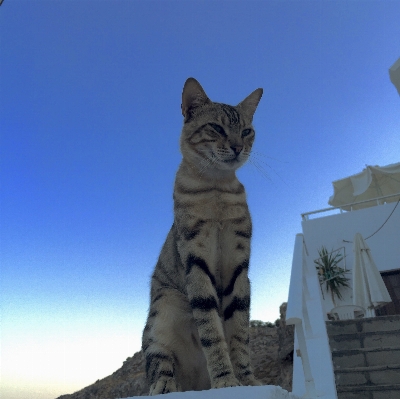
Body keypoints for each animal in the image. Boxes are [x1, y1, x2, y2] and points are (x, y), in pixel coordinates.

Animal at [142, 79, 264, 396]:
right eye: (217, 128)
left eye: (246, 131)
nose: (238, 147)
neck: (216, 188)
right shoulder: (196, 260)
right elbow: (211, 329)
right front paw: (224, 379)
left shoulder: (239, 266)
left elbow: (239, 333)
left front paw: (245, 380)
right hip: (163, 310)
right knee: (156, 362)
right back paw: (165, 384)